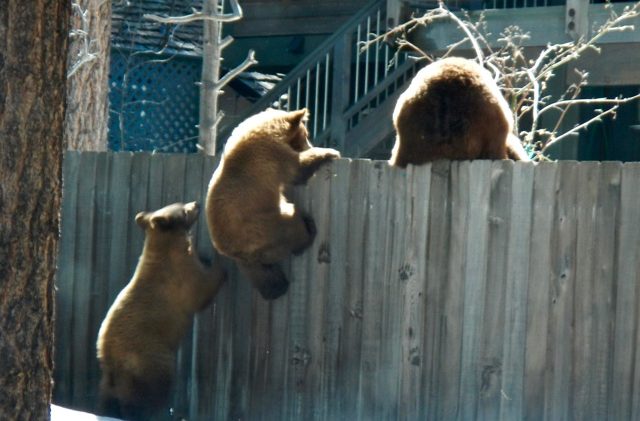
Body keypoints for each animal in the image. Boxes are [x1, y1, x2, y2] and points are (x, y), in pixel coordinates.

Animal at [96, 201, 226, 421]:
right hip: (152, 359)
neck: (166, 247)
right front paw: (219, 260)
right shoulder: (180, 276)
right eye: (183, 210)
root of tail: (110, 358)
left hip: (107, 381)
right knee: (152, 392)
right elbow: (202, 290)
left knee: (106, 399)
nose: (197, 204)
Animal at [206, 108, 340, 300]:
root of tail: (233, 251)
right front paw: (330, 152)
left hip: (256, 248)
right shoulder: (271, 156)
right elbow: (298, 169)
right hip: (264, 226)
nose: (310, 144)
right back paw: (308, 230)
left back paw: (276, 286)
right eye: (306, 134)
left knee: (262, 273)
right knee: (291, 225)